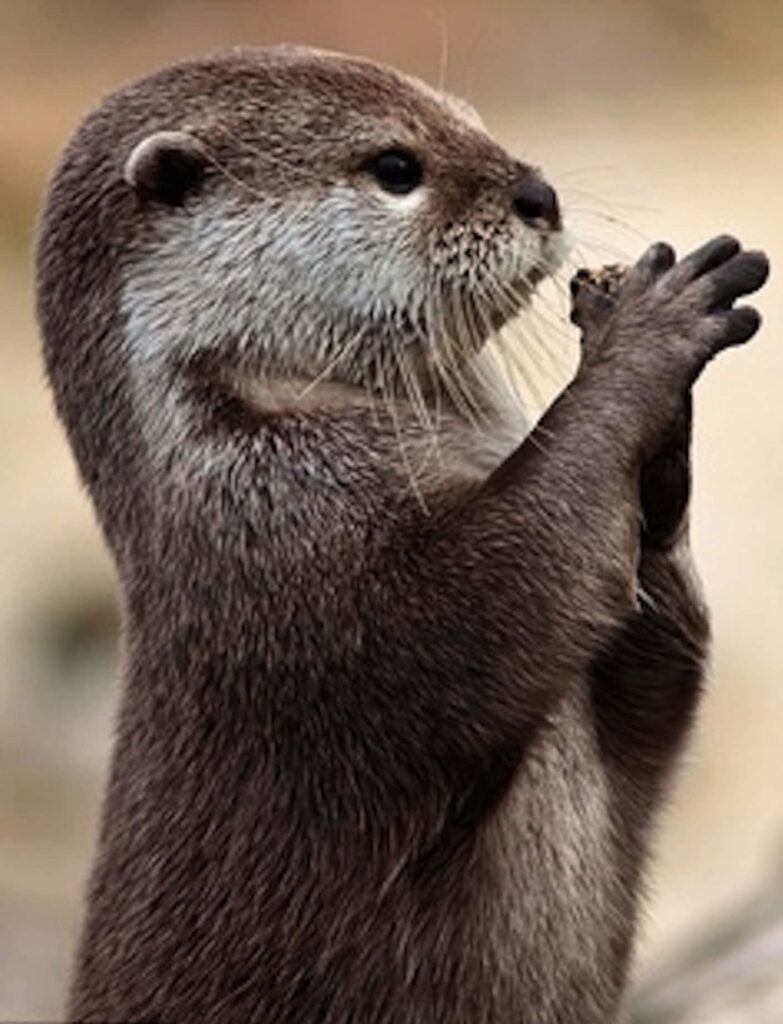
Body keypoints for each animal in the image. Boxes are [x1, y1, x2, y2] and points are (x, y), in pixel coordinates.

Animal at [35, 45, 768, 1023]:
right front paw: (646, 334)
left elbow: (659, 678)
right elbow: (500, 594)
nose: (536, 192)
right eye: (394, 167)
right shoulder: (302, 574)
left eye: (472, 118)